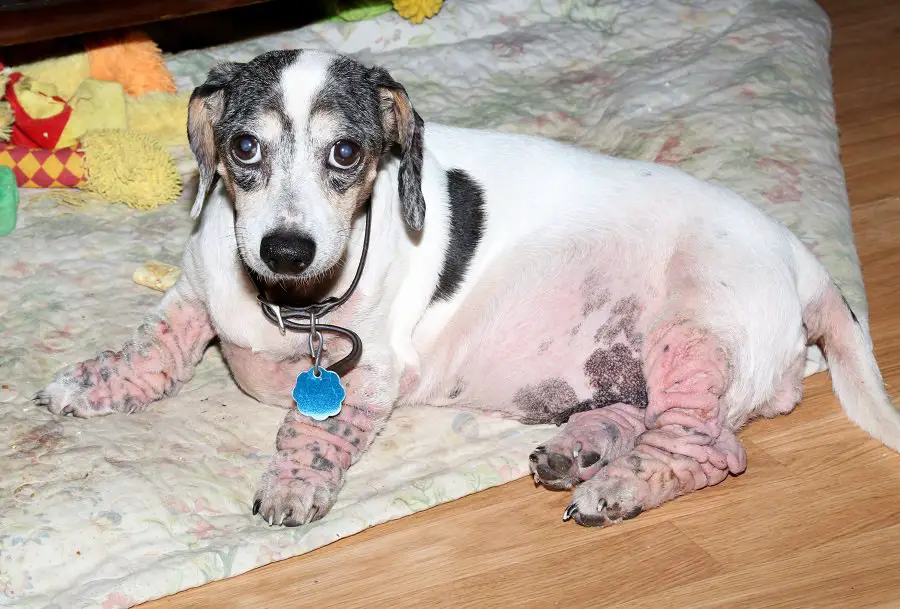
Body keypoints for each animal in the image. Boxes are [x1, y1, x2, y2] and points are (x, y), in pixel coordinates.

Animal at [37, 51, 900, 528]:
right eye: (243, 147)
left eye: (347, 153)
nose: (286, 247)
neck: (288, 301)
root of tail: (807, 265)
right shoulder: (194, 293)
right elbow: (152, 349)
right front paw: (91, 383)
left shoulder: (368, 371)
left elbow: (311, 430)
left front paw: (292, 484)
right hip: (636, 365)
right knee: (643, 415)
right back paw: (580, 447)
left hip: (694, 337)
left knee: (706, 449)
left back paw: (617, 486)